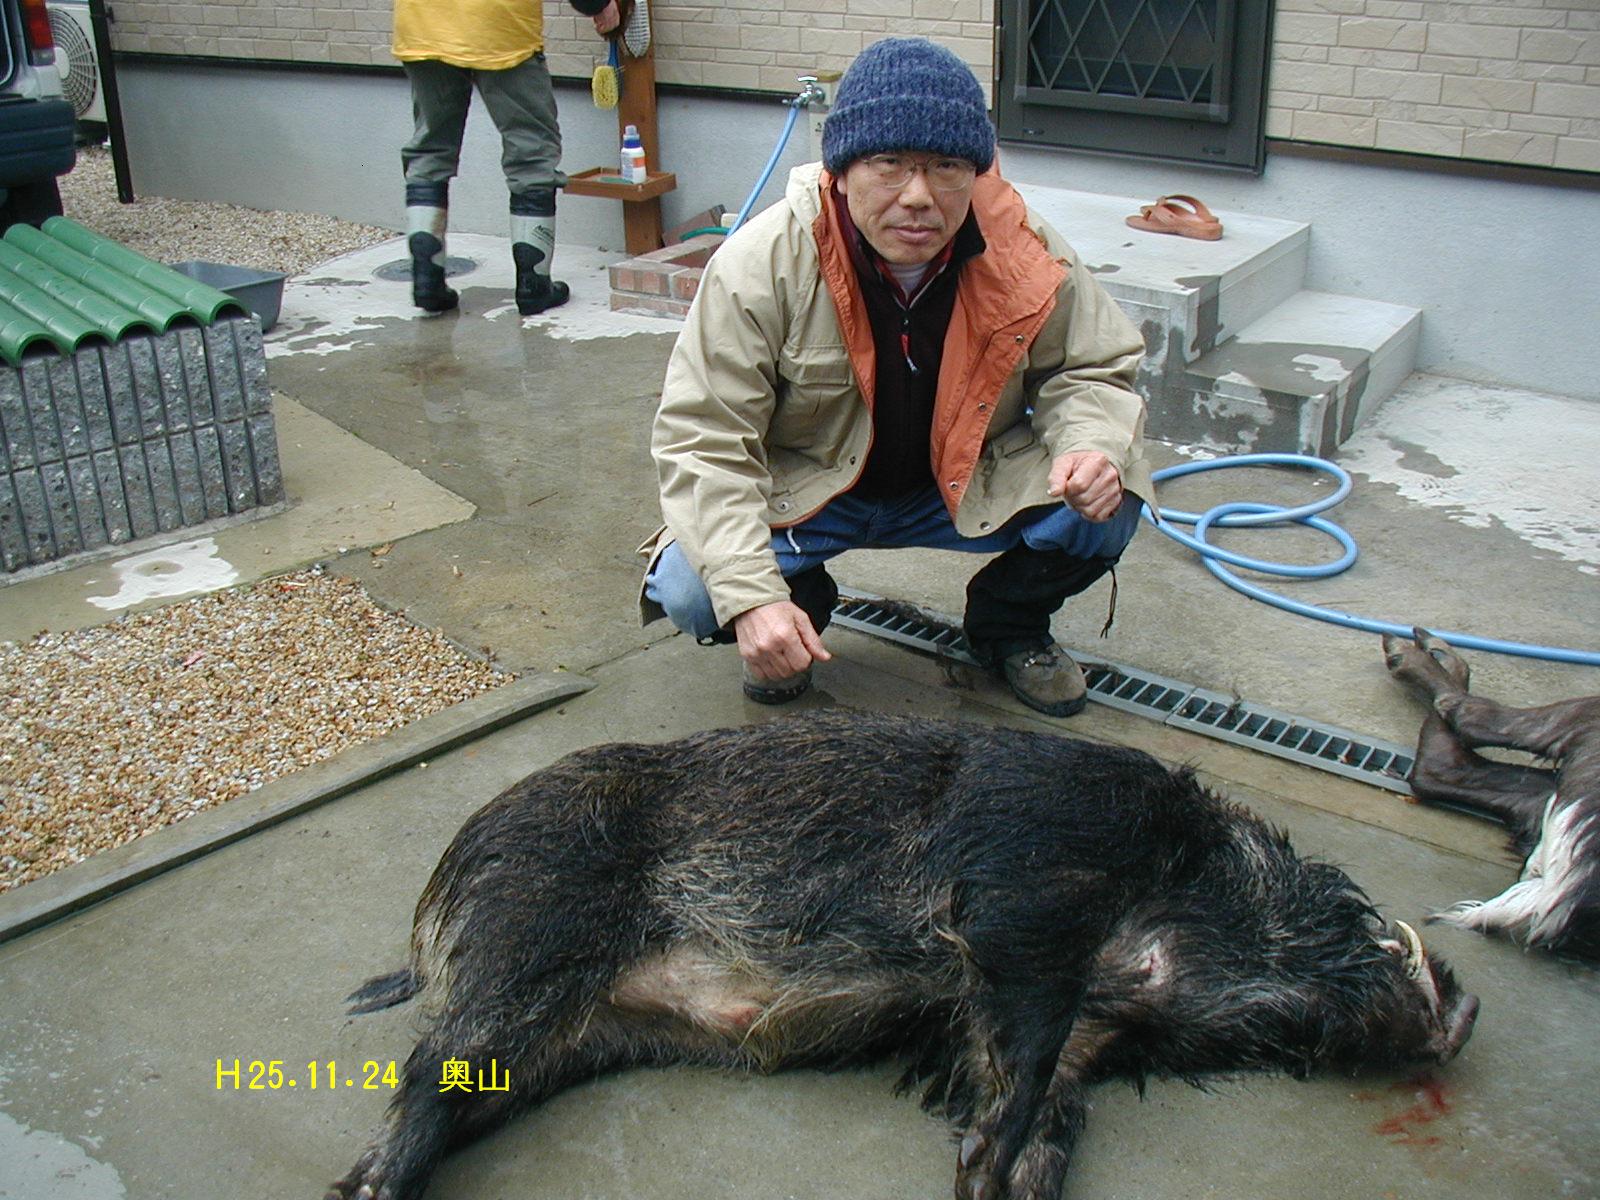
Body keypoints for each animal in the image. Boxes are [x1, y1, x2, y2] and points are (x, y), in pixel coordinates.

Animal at [327, 709, 1478, 1200]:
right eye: (1336, 896)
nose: (1466, 1011)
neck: (1170, 903)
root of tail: (449, 870)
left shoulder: (1081, 1033)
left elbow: (1052, 1106)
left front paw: (998, 1183)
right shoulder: (1030, 886)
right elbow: (1021, 1051)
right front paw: (980, 1165)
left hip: (578, 1031)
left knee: (466, 1085)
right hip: (537, 926)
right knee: (428, 1060)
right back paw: (366, 1190)